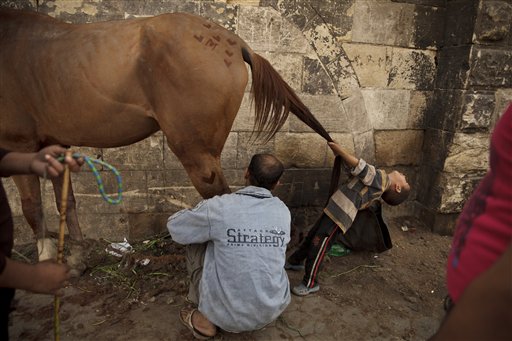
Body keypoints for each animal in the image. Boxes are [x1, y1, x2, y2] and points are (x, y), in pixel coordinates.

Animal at [0, 8, 334, 247]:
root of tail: (235, 43)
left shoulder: (20, 144)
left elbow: (33, 208)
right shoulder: (53, 144)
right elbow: (65, 202)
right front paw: (76, 257)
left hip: (196, 152)